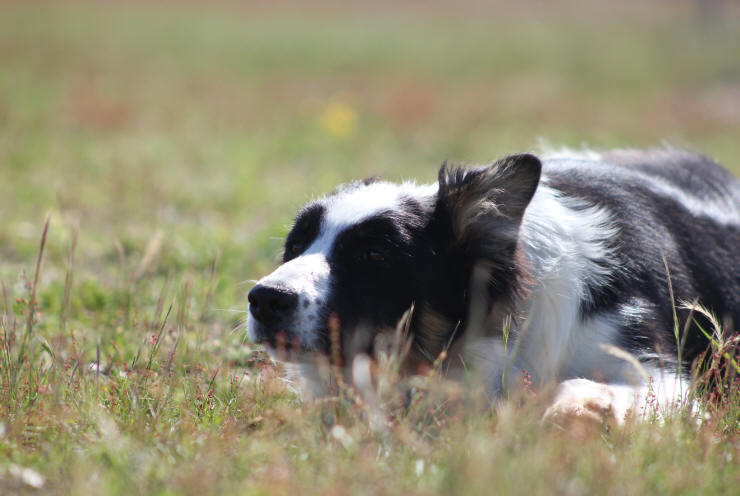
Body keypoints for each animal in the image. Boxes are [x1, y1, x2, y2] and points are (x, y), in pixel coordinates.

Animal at [246, 148, 736, 422]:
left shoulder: (661, 378)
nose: (263, 300)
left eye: (373, 256)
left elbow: (581, 391)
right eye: (294, 246)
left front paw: (569, 410)